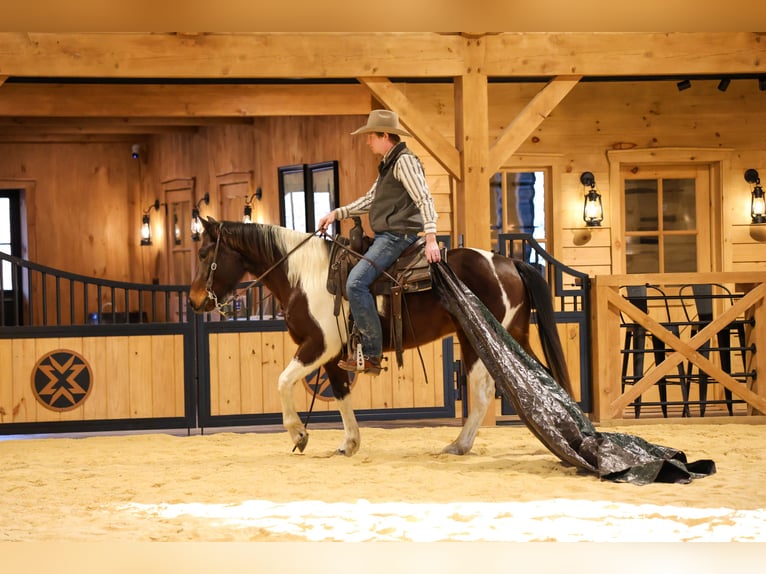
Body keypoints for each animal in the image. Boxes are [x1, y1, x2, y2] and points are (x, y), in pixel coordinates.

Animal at [188, 217, 573, 457]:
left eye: (205, 253)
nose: (193, 301)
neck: (303, 276)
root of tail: (508, 262)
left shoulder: (317, 346)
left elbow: (283, 381)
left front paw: (299, 434)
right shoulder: (334, 356)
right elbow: (341, 395)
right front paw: (349, 443)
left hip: (478, 341)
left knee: (482, 395)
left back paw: (459, 445)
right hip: (513, 336)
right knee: (541, 381)